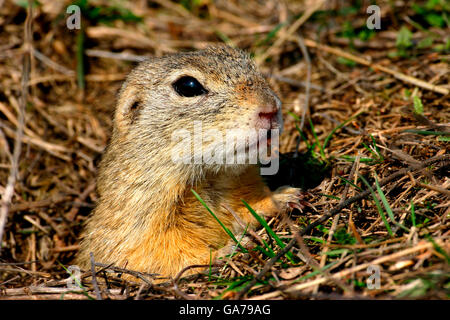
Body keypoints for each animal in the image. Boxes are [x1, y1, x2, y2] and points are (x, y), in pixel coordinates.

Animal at [76, 45, 302, 280]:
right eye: (188, 86)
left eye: (248, 62)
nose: (270, 107)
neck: (212, 176)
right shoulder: (139, 224)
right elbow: (168, 259)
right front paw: (229, 250)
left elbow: (245, 210)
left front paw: (283, 198)